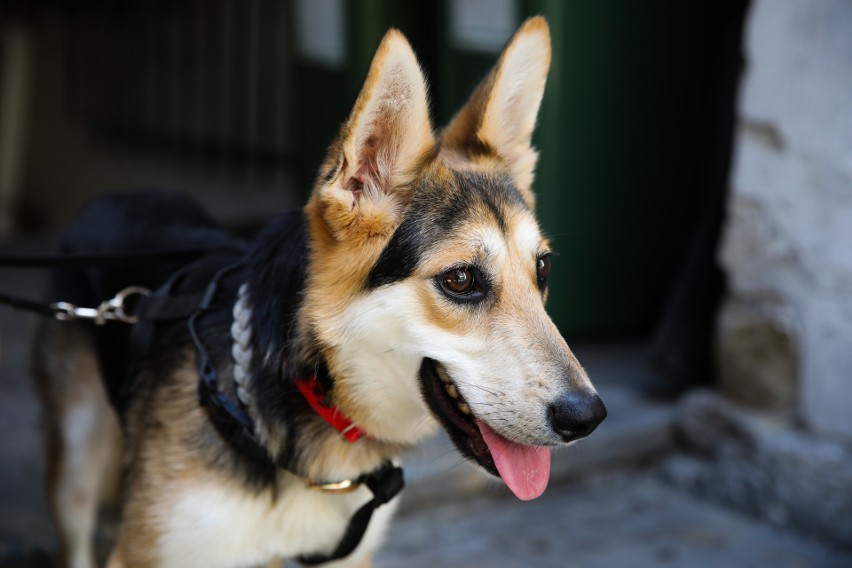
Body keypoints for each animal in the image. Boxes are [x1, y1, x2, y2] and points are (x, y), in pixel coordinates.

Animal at [30, 17, 604, 568]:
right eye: (460, 280)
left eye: (543, 269)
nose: (588, 418)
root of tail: (109, 198)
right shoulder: (145, 554)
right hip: (76, 457)